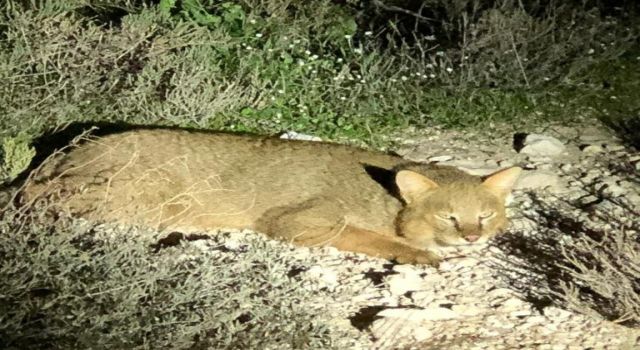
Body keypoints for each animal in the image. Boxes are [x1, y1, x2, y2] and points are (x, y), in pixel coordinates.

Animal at [25, 128, 524, 266]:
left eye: (485, 215)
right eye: (449, 217)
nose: (473, 238)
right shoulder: (298, 221)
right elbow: (369, 237)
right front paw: (416, 253)